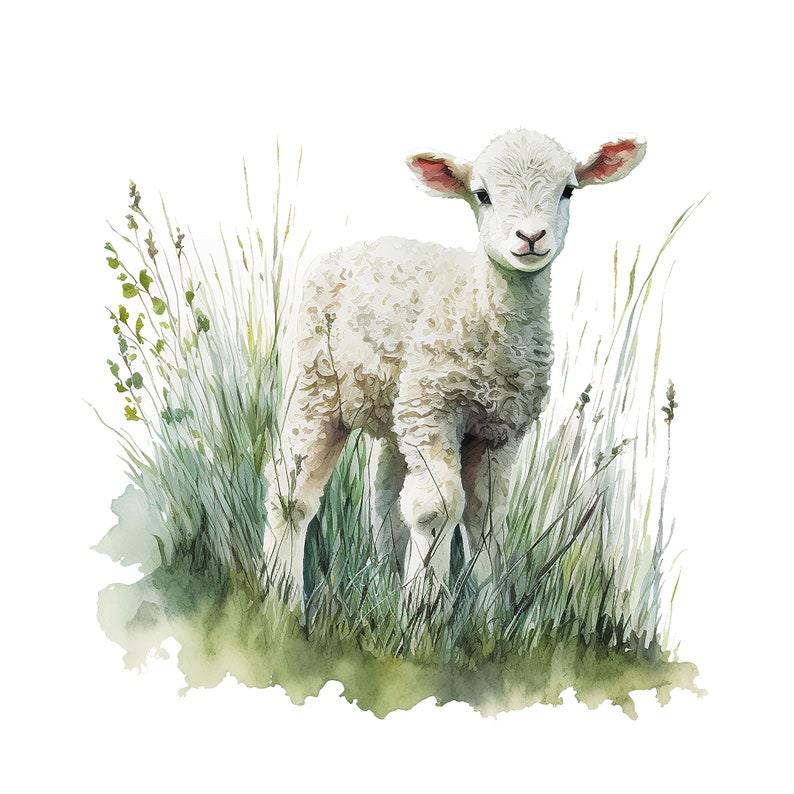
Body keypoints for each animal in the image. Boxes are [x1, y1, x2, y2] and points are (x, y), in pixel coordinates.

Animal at [262, 129, 646, 607]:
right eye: (482, 194)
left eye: (568, 190)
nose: (531, 236)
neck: (480, 305)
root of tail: (353, 249)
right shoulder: (434, 410)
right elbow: (438, 507)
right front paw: (422, 608)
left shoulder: (500, 430)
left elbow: (485, 518)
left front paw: (486, 611)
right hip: (322, 385)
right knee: (291, 492)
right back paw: (281, 598)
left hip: (398, 408)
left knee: (385, 496)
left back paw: (381, 580)